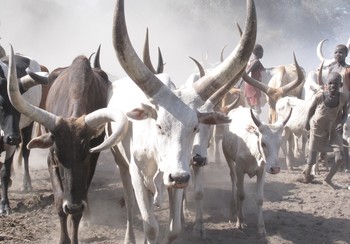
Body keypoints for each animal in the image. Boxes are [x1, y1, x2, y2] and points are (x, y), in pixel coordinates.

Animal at [91, 0, 258, 243]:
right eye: (159, 125)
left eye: (195, 126)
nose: (178, 176)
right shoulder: (138, 174)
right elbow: (150, 226)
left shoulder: (179, 175)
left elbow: (174, 228)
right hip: (121, 163)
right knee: (130, 203)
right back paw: (130, 236)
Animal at [221, 106, 292, 236]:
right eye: (263, 143)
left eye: (279, 143)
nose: (275, 169)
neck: (253, 151)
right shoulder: (239, 169)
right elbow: (241, 195)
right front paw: (239, 222)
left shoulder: (262, 171)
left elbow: (259, 198)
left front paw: (261, 227)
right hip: (227, 156)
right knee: (234, 180)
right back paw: (233, 211)